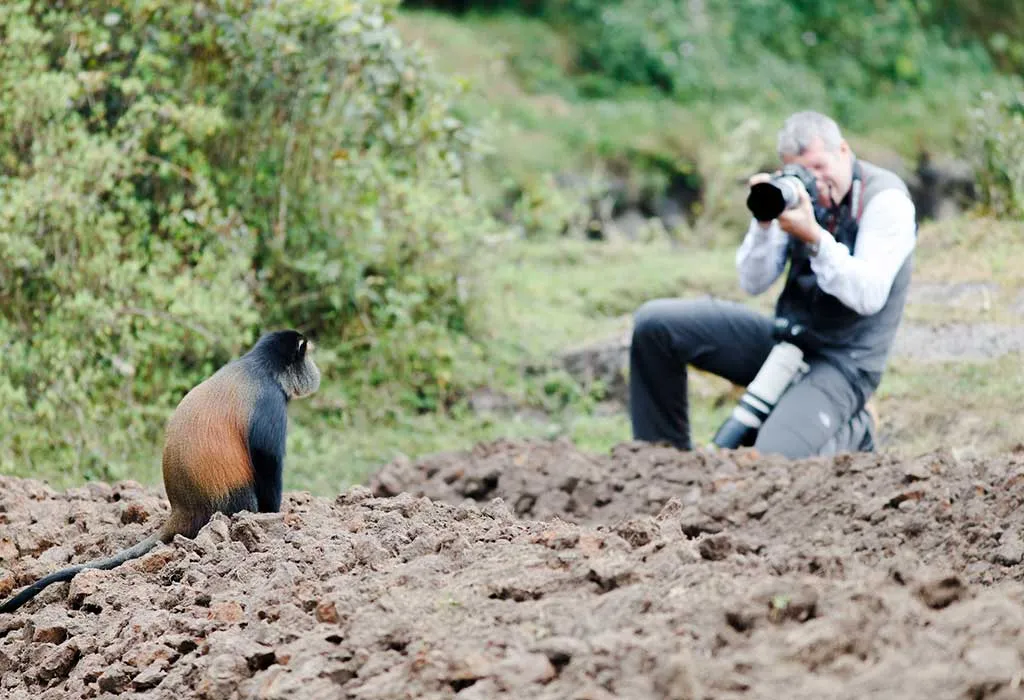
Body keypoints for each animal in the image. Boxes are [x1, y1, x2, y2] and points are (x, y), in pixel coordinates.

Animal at [0, 329, 320, 614]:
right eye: (307, 355)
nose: (315, 372)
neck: (262, 365)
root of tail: (183, 508)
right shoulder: (271, 403)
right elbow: (268, 460)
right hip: (233, 501)